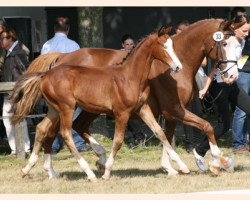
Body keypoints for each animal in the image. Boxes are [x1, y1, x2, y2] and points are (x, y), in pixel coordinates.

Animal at [10, 26, 189, 181]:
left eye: (172, 45)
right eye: (164, 46)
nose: (178, 66)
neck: (130, 76)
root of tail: (45, 75)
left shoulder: (142, 108)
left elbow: (159, 132)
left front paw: (181, 167)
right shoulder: (121, 113)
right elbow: (118, 141)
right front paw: (107, 171)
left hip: (54, 109)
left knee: (42, 128)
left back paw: (29, 170)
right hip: (67, 108)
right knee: (66, 133)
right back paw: (89, 173)